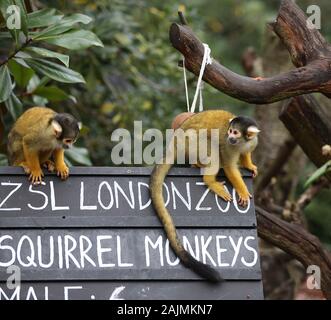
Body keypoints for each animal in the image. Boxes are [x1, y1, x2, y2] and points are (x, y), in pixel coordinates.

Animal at [151, 109, 262, 280]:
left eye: (235, 132)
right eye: (230, 131)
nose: (230, 137)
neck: (241, 142)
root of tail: (174, 142)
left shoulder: (252, 141)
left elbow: (245, 153)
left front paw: (249, 165)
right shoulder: (227, 145)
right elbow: (229, 166)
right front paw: (242, 191)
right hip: (190, 141)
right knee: (211, 146)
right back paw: (209, 180)